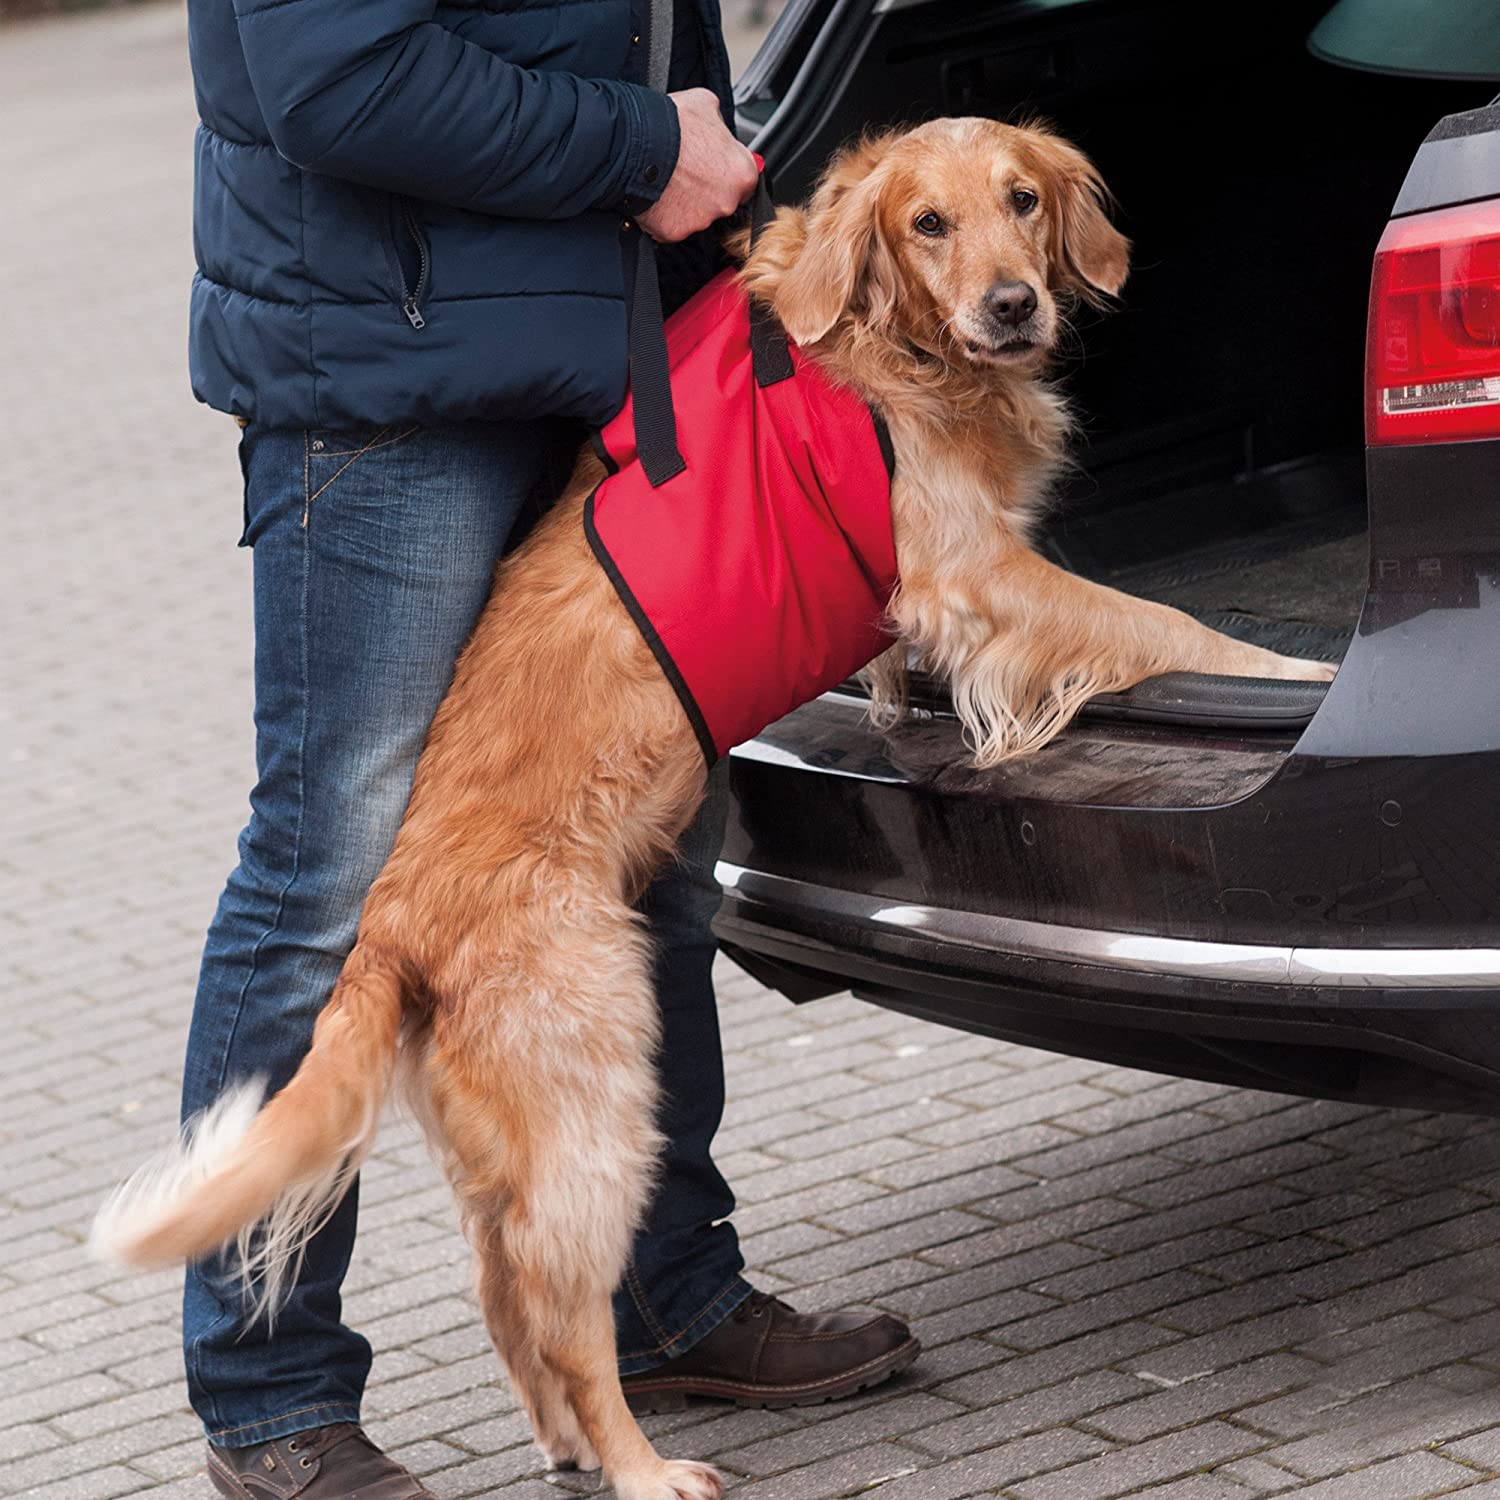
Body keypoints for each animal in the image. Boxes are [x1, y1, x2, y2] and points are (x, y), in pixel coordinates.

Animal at [93, 120, 1332, 1500]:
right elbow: (1167, 624)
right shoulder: (979, 573)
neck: (888, 348)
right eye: (929, 223)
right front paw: (1296, 675)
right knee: (564, 1314)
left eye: (1021, 200)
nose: (1013, 306)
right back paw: (639, 1466)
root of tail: (395, 921)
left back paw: (573, 1443)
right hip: (598, 1110)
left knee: (502, 1295)